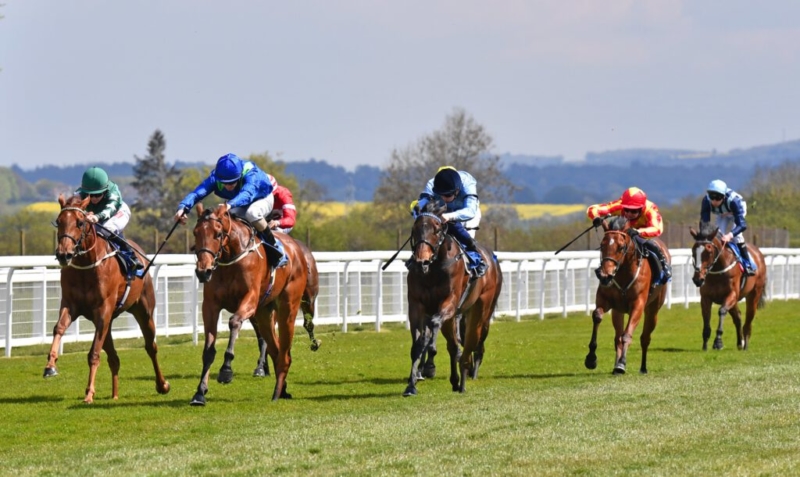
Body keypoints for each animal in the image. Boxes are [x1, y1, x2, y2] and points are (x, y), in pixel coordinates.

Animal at [46, 193, 170, 402]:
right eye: (58, 221)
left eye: (80, 222)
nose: (64, 254)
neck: (86, 266)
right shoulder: (71, 305)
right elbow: (59, 328)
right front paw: (50, 365)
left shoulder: (103, 310)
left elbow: (93, 354)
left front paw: (89, 393)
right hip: (108, 321)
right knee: (114, 358)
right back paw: (114, 394)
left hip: (143, 311)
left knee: (151, 347)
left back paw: (162, 385)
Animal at [189, 203, 318, 404]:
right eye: (196, 233)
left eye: (217, 234)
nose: (203, 271)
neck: (230, 259)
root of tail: (296, 248)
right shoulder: (210, 306)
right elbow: (208, 350)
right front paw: (200, 393)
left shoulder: (249, 300)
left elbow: (234, 322)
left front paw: (226, 370)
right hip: (264, 314)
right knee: (275, 349)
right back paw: (281, 388)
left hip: (289, 308)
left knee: (287, 351)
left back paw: (277, 392)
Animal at [406, 200, 500, 394]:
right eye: (415, 229)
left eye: (437, 230)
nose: (421, 261)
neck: (433, 269)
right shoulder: (416, 305)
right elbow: (418, 343)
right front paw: (411, 385)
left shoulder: (449, 303)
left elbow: (435, 326)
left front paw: (429, 364)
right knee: (453, 345)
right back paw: (455, 379)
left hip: (481, 308)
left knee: (471, 339)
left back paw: (464, 376)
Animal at [588, 217, 668, 376]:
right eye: (602, 245)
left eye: (621, 247)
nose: (605, 275)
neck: (623, 273)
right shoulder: (606, 300)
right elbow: (597, 316)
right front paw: (591, 358)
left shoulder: (638, 305)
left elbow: (627, 334)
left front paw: (622, 363)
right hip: (617, 311)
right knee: (617, 337)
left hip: (653, 309)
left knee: (645, 338)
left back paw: (642, 367)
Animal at [688, 222, 768, 350]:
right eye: (693, 251)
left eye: (709, 252)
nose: (697, 279)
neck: (718, 271)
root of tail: (759, 254)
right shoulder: (706, 298)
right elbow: (706, 317)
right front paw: (705, 345)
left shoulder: (731, 294)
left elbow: (721, 311)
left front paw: (718, 342)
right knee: (738, 317)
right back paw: (740, 343)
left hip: (754, 294)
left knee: (748, 319)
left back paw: (745, 344)